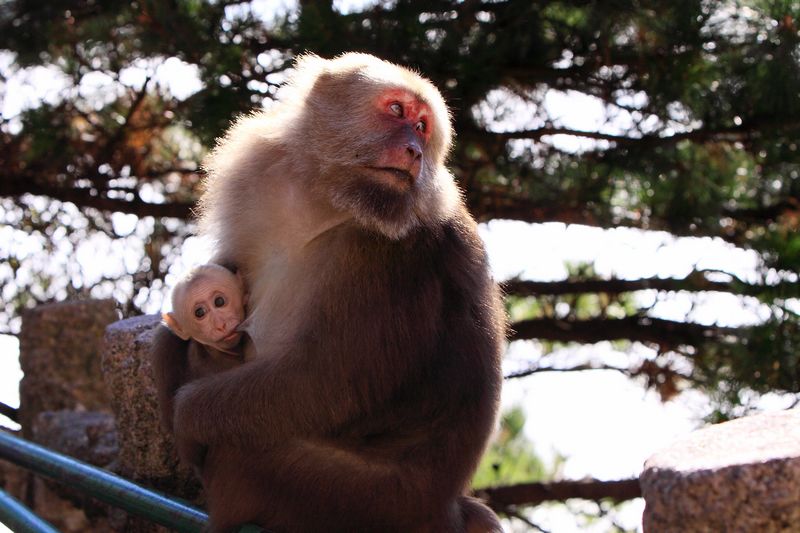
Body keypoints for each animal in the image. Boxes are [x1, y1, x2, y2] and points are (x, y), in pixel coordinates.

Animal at [170, 55, 506, 532]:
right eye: (398, 111)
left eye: (422, 126)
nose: (414, 151)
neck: (327, 199)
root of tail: (443, 509)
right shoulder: (261, 175)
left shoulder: (383, 256)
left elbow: (323, 382)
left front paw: (184, 418)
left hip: (353, 501)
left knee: (244, 452)